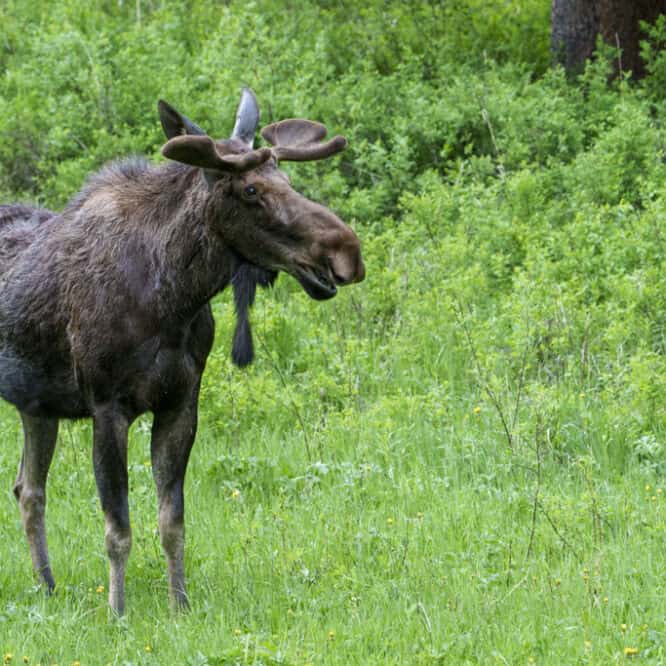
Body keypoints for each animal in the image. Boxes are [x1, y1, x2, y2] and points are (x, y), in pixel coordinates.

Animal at [0, 88, 364, 615]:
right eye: (250, 190)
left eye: (286, 178)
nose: (346, 251)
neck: (173, 296)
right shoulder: (107, 407)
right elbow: (118, 530)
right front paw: (118, 612)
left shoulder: (181, 403)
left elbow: (171, 523)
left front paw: (180, 605)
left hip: (38, 407)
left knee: (28, 490)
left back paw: (47, 587)